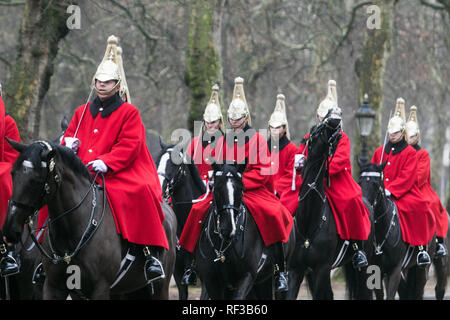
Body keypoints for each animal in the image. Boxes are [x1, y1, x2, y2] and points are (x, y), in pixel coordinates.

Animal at [2, 140, 177, 300]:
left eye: (36, 180)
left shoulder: (100, 288)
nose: (10, 229)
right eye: (12, 173)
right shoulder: (53, 287)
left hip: (160, 288)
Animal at [286, 117, 374, 300]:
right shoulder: (295, 270)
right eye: (314, 130)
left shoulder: (322, 269)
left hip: (363, 267)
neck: (309, 221)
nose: (334, 121)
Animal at [358, 162, 436, 300]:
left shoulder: (395, 270)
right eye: (359, 182)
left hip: (421, 269)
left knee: (418, 291)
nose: (365, 209)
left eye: (376, 184)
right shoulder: (376, 269)